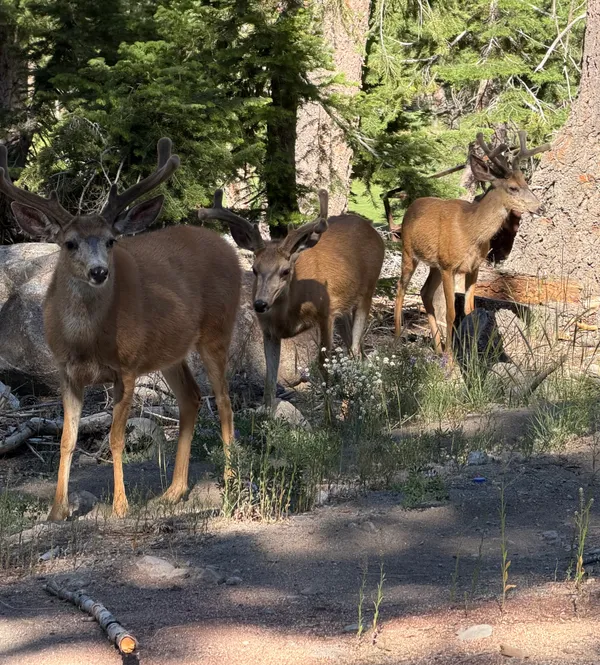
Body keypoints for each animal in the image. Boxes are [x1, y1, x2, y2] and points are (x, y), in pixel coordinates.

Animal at [0, 138, 241, 521]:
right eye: (70, 243)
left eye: (111, 240)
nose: (99, 271)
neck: (86, 342)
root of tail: (227, 247)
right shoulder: (66, 373)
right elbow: (66, 439)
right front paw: (57, 511)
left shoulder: (126, 368)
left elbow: (115, 438)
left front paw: (120, 505)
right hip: (169, 351)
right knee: (191, 397)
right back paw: (173, 492)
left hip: (217, 329)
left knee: (224, 401)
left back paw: (230, 481)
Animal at [197, 189, 385, 409]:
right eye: (254, 269)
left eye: (285, 271)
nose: (260, 304)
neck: (289, 314)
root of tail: (371, 229)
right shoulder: (269, 331)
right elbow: (270, 379)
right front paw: (267, 411)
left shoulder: (326, 314)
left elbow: (323, 367)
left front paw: (329, 412)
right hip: (343, 307)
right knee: (354, 347)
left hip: (368, 290)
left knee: (355, 347)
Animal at [394, 130, 550, 357]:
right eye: (513, 187)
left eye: (527, 184)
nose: (541, 207)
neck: (471, 232)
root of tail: (411, 207)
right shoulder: (449, 266)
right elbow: (451, 313)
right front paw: (451, 358)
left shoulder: (473, 267)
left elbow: (469, 310)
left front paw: (471, 352)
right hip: (408, 251)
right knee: (401, 289)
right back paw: (397, 340)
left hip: (434, 265)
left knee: (425, 292)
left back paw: (437, 347)